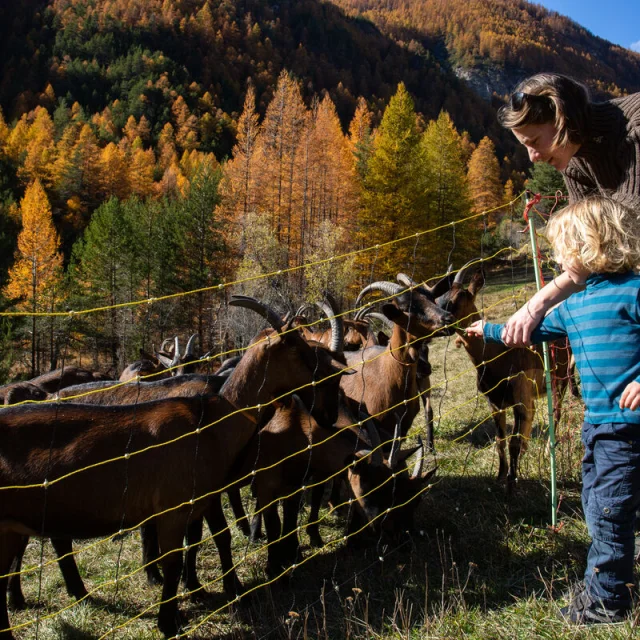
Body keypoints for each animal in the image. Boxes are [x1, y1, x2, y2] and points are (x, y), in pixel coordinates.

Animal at [0, 298, 350, 636]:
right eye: (298, 349)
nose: (330, 410)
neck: (214, 421)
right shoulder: (173, 508)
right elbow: (175, 559)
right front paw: (171, 620)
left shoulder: (204, 499)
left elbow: (214, 539)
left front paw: (215, 591)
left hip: (18, 523)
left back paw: (49, 595)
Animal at [438, 262, 572, 488]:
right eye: (440, 296)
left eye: (462, 295)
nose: (442, 319)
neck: (498, 356)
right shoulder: (495, 403)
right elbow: (500, 440)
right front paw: (500, 475)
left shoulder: (519, 397)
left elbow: (513, 441)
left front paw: (511, 482)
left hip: (559, 379)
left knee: (556, 412)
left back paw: (547, 451)